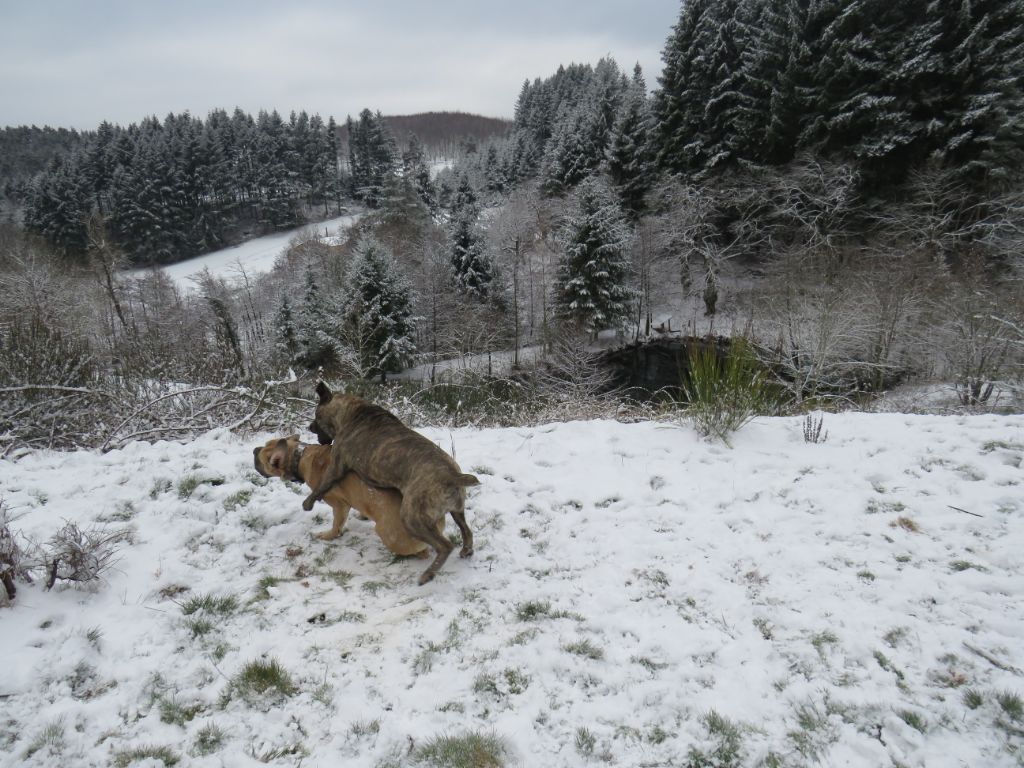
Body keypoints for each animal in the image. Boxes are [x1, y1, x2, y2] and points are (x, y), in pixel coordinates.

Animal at [253, 438, 442, 561]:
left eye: (263, 458)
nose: (254, 449)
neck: (299, 457)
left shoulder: (339, 505)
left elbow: (336, 525)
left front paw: (328, 536)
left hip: (388, 535)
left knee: (421, 550)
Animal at [303, 382, 479, 585]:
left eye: (316, 415)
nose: (309, 426)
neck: (351, 412)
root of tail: (452, 476)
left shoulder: (336, 465)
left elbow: (321, 486)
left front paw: (308, 502)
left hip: (412, 517)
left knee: (445, 546)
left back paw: (428, 574)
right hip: (457, 510)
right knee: (466, 531)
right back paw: (466, 550)